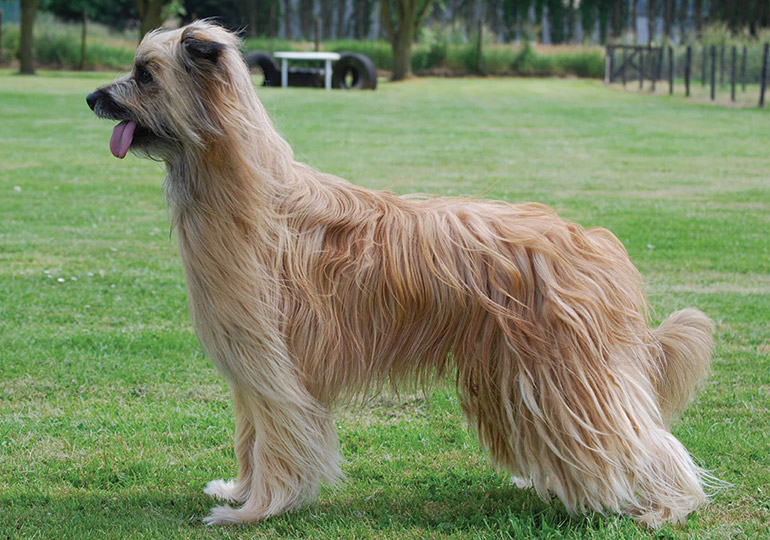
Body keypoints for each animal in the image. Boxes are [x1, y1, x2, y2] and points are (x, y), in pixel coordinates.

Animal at [88, 21, 712, 528]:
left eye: (145, 74)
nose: (92, 97)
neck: (249, 190)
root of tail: (592, 242)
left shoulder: (274, 368)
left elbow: (277, 442)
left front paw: (254, 510)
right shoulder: (249, 366)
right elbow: (249, 437)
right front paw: (238, 491)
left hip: (567, 375)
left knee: (640, 439)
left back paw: (668, 505)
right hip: (517, 376)